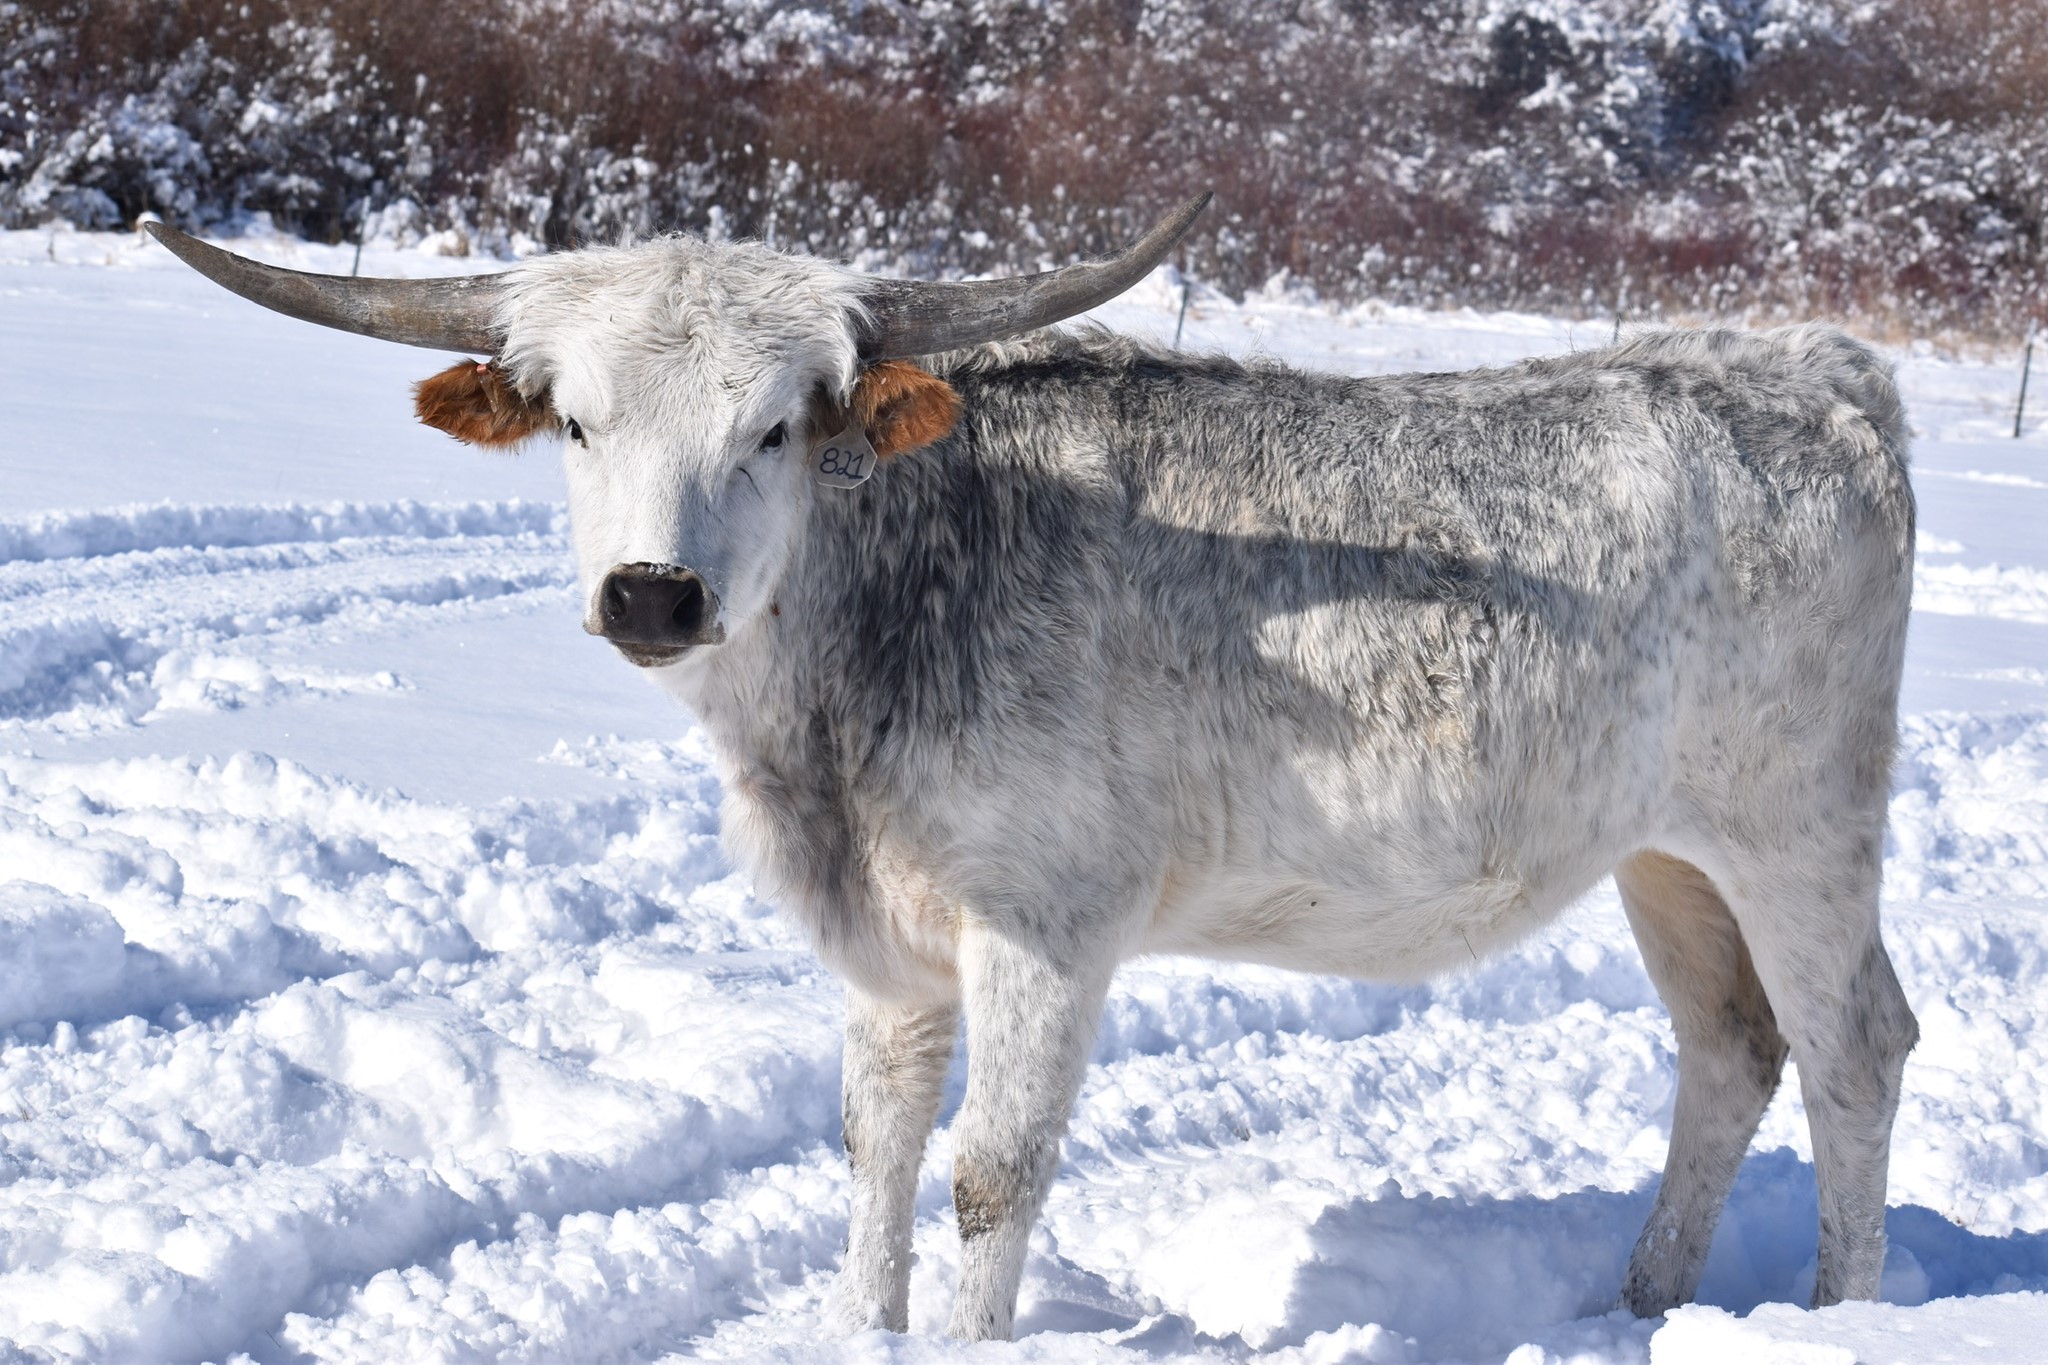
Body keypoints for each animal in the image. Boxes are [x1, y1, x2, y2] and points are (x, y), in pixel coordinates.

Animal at [146, 198, 1918, 1342]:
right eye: (576, 422)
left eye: (780, 426)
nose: (654, 593)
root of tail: (1822, 369)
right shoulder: (890, 946)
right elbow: (874, 1148)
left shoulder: (1050, 928)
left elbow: (993, 1177)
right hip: (1664, 853)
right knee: (1729, 1047)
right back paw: (1644, 1303)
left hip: (1800, 825)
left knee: (1854, 1049)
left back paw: (1840, 1312)